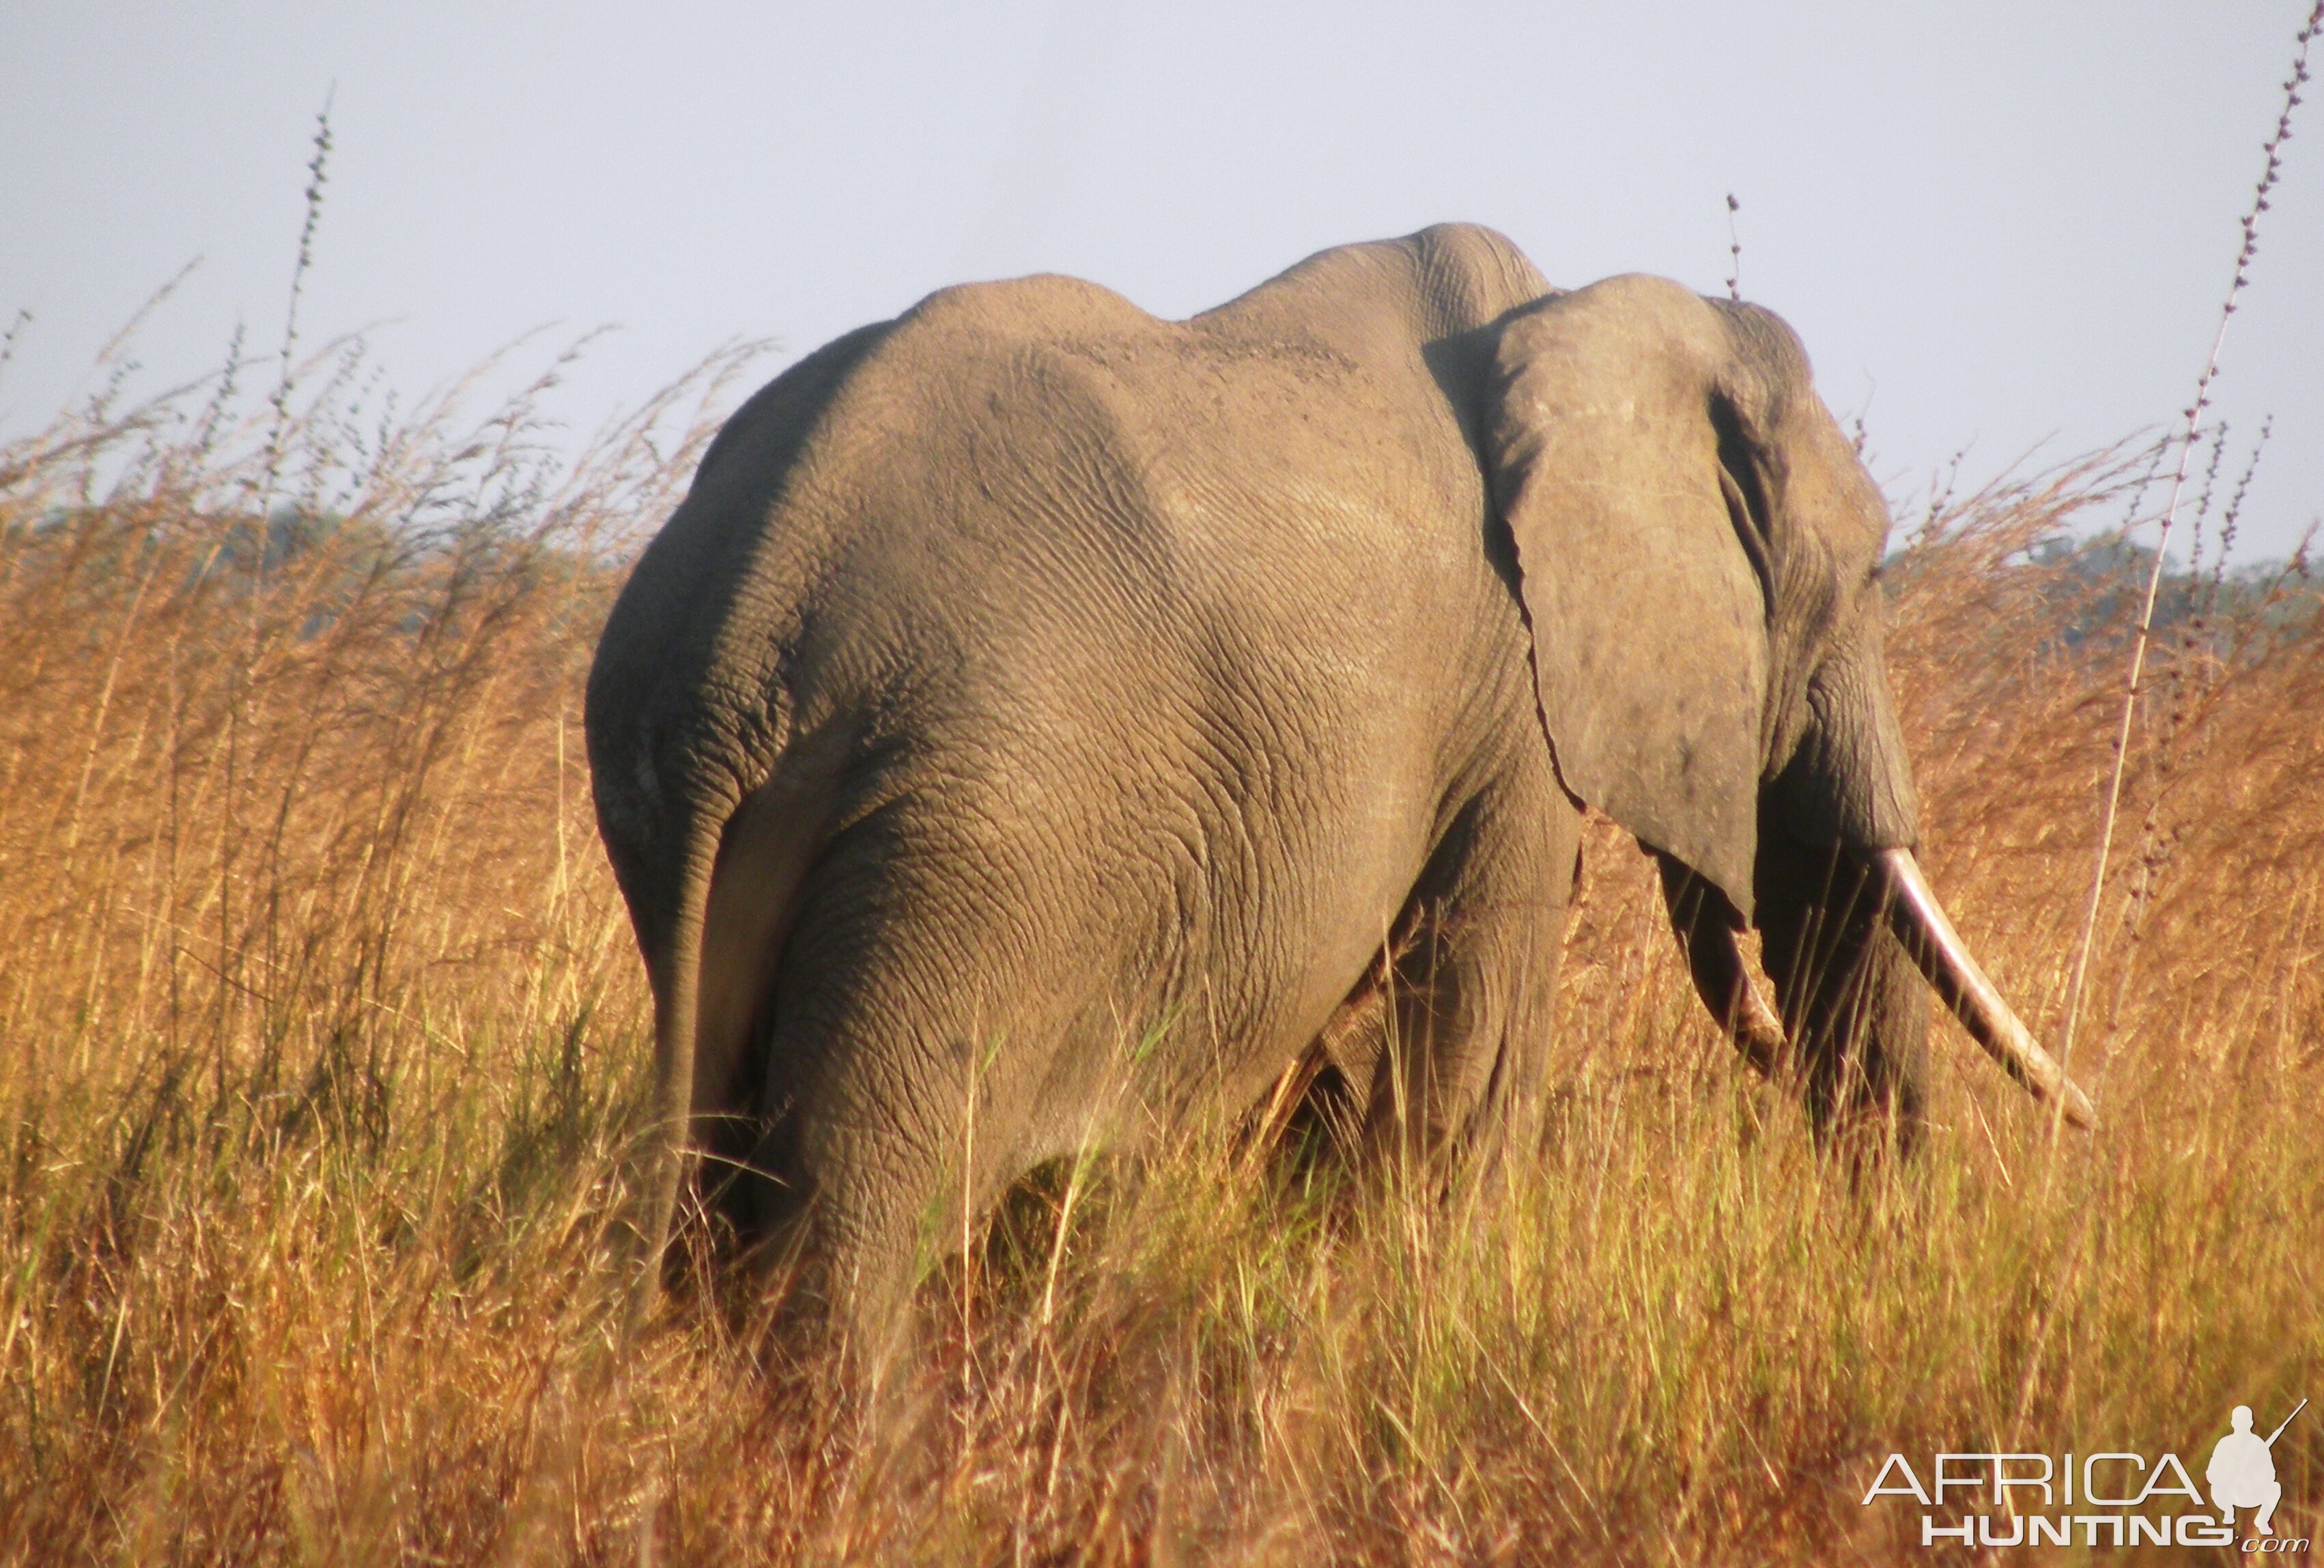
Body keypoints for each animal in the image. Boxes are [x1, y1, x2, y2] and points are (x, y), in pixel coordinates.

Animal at [585, 220, 2091, 1347]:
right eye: (1870, 575)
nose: (1903, 1262)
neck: (1584, 324)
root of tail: (745, 623)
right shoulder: (1510, 703)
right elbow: (1476, 1046)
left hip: (690, 817)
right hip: (972, 827)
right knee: (856, 1212)